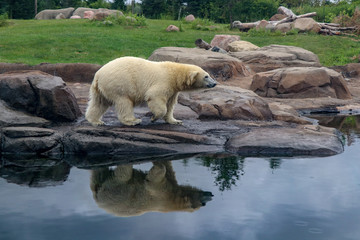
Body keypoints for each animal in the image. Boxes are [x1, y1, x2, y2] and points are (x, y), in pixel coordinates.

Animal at [85, 57, 217, 126]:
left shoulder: (173, 89)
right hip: (119, 84)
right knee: (124, 102)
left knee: (99, 103)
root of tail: (98, 75)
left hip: (100, 89)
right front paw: (154, 118)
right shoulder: (164, 81)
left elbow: (170, 104)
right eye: (206, 76)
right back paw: (133, 121)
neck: (174, 74)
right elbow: (156, 97)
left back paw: (96, 121)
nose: (215, 83)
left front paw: (175, 121)